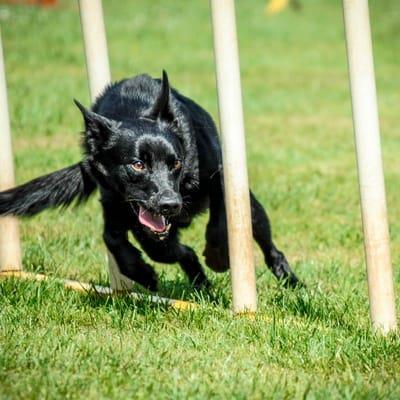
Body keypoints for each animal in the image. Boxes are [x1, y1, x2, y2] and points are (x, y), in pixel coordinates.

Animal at [0, 71, 300, 290]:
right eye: (138, 164)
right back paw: (200, 285)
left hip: (252, 210)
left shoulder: (220, 175)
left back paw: (291, 281)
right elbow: (114, 238)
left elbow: (218, 223)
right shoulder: (115, 201)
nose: (170, 205)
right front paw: (142, 273)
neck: (133, 110)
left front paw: (217, 257)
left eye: (176, 163)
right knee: (171, 250)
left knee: (267, 244)